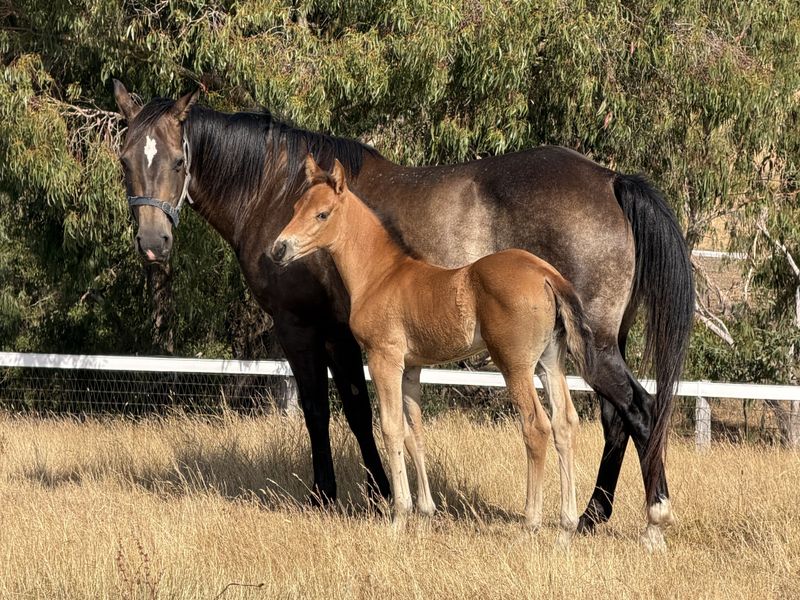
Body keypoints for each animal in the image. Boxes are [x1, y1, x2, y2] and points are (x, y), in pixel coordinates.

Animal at [273, 155, 597, 541]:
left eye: (322, 214)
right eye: (295, 208)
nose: (279, 249)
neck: (380, 276)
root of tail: (546, 274)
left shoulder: (384, 359)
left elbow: (391, 428)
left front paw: (398, 517)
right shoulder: (411, 368)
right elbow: (415, 433)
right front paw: (425, 512)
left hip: (515, 364)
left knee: (536, 426)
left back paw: (530, 523)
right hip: (550, 362)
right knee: (565, 423)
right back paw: (566, 527)